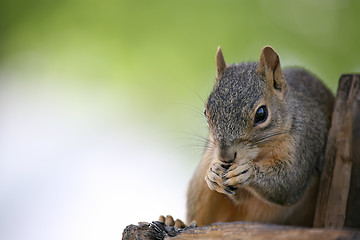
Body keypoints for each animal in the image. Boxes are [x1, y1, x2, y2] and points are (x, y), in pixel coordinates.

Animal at [184, 45, 336, 227]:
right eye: (206, 112)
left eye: (261, 114)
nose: (225, 157)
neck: (261, 153)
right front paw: (212, 174)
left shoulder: (307, 140)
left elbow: (290, 182)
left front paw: (248, 171)